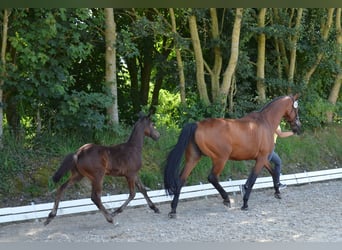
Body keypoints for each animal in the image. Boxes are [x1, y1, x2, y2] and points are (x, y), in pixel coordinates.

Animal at [164, 94, 300, 218]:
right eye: (296, 108)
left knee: (181, 180)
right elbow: (254, 179)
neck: (265, 121)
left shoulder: (263, 158)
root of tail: (197, 124)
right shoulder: (261, 158)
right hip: (220, 159)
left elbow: (273, 173)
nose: (298, 126)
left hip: (193, 158)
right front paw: (245, 204)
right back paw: (227, 199)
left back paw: (173, 210)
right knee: (212, 177)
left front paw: (277, 192)